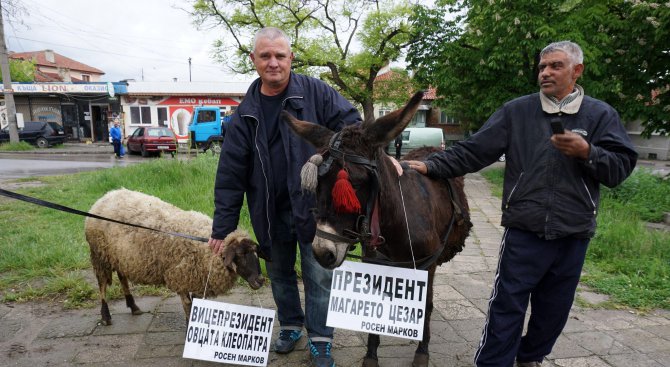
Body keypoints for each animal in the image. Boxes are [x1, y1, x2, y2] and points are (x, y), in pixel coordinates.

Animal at [86, 188, 268, 326]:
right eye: (240, 254)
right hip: (99, 255)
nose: (260, 280)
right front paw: (189, 328)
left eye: (256, 253)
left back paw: (133, 306)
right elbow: (188, 304)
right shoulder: (180, 277)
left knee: (122, 277)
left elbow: (195, 303)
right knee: (102, 285)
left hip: (120, 256)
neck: (206, 249)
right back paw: (106, 316)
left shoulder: (197, 278)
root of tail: (104, 197)